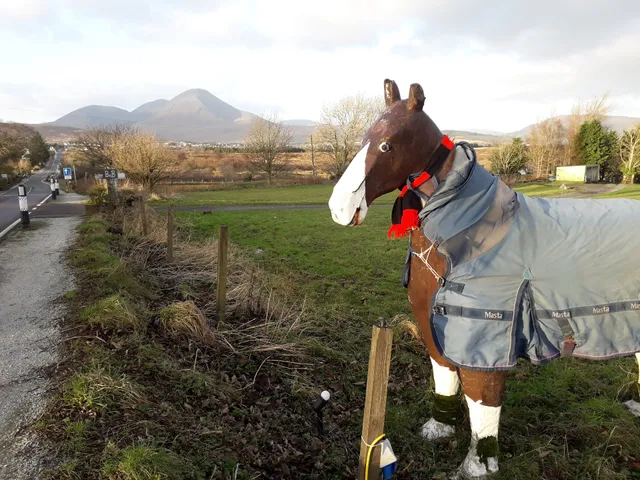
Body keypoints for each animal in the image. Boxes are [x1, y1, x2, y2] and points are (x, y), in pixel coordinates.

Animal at [328, 79, 640, 478]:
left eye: (386, 144)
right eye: (366, 136)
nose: (340, 207)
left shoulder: (487, 338)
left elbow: (482, 403)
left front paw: (478, 464)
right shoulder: (435, 328)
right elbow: (444, 378)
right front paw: (439, 427)